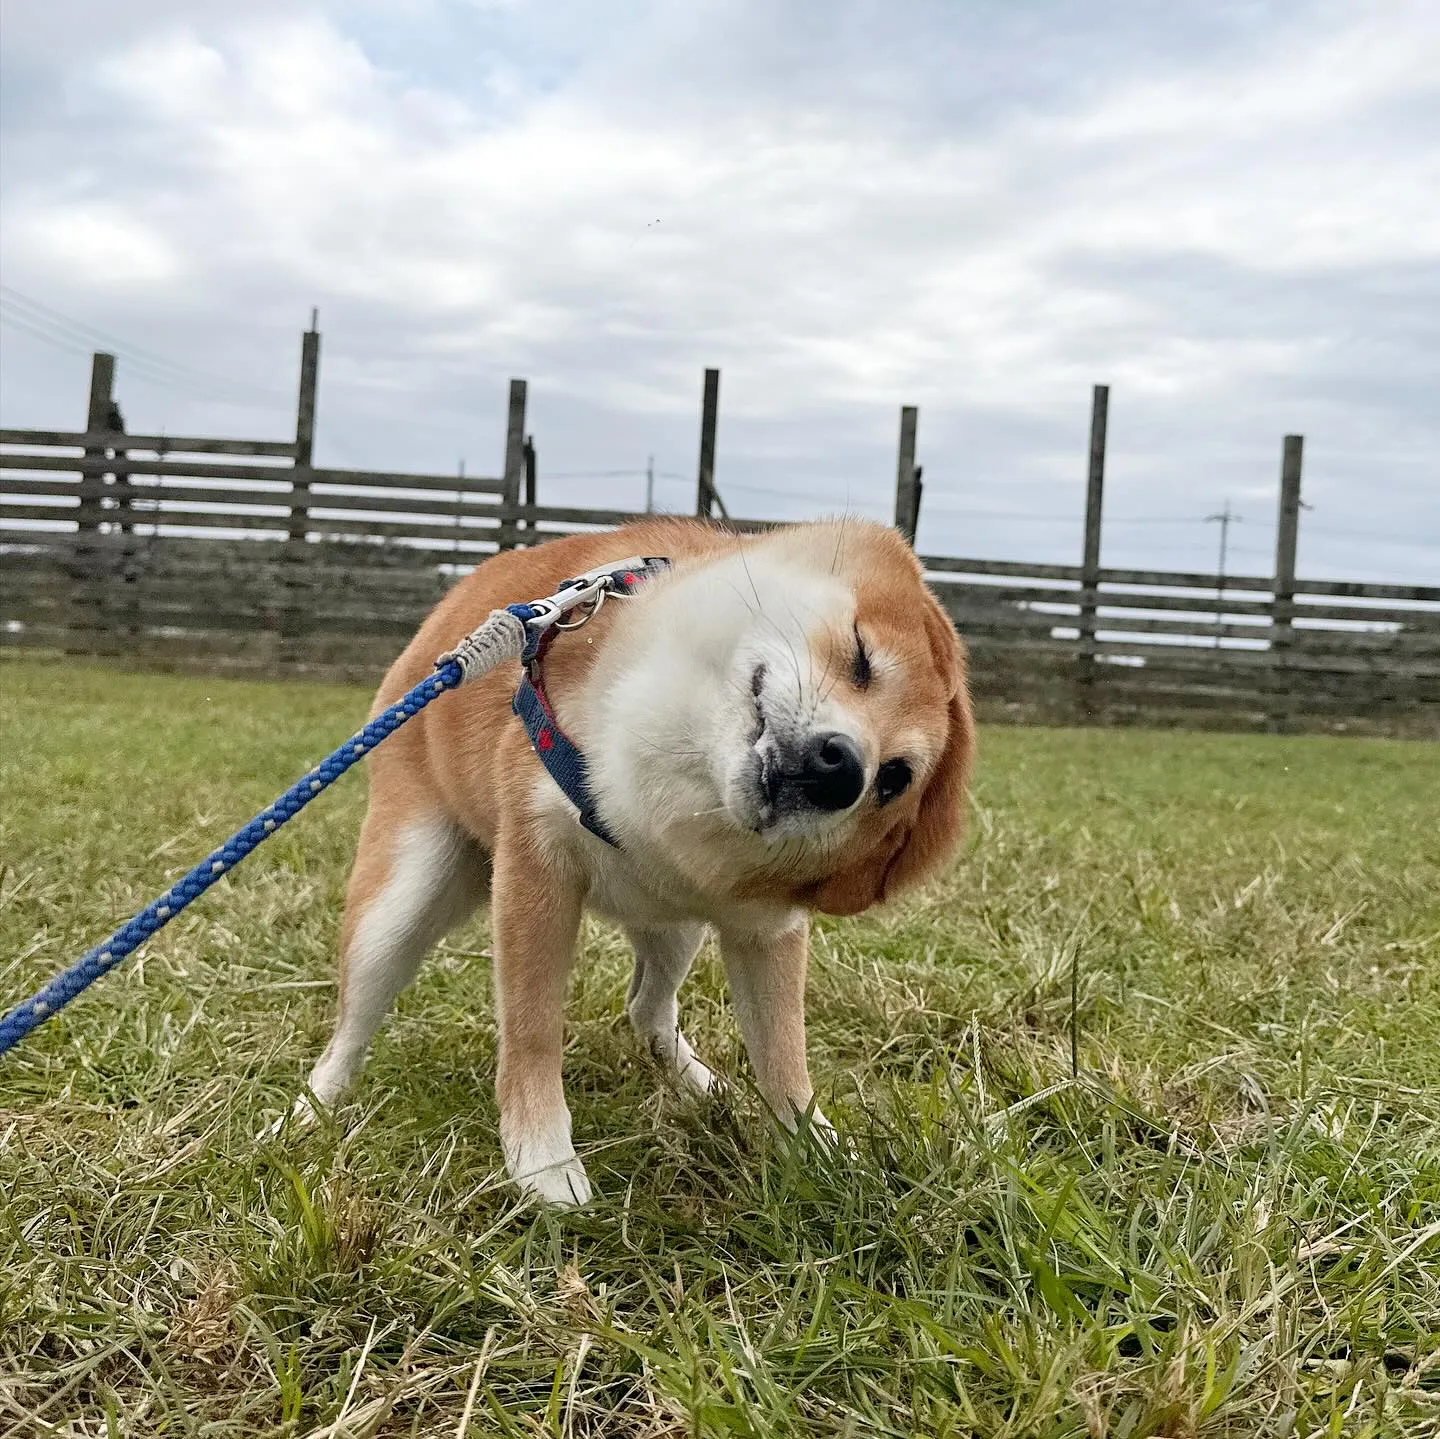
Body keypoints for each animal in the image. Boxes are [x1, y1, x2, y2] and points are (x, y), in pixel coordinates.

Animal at [288, 518, 973, 1204]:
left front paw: (820, 1151)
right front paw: (542, 1157)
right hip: (401, 903)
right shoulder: (538, 868)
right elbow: (532, 1028)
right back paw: (313, 1108)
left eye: (893, 780)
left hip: (676, 927)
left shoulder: (764, 929)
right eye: (860, 657)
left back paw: (700, 1083)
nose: (843, 769)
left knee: (647, 1007)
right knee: (352, 1024)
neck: (682, 775)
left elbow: (783, 1054)